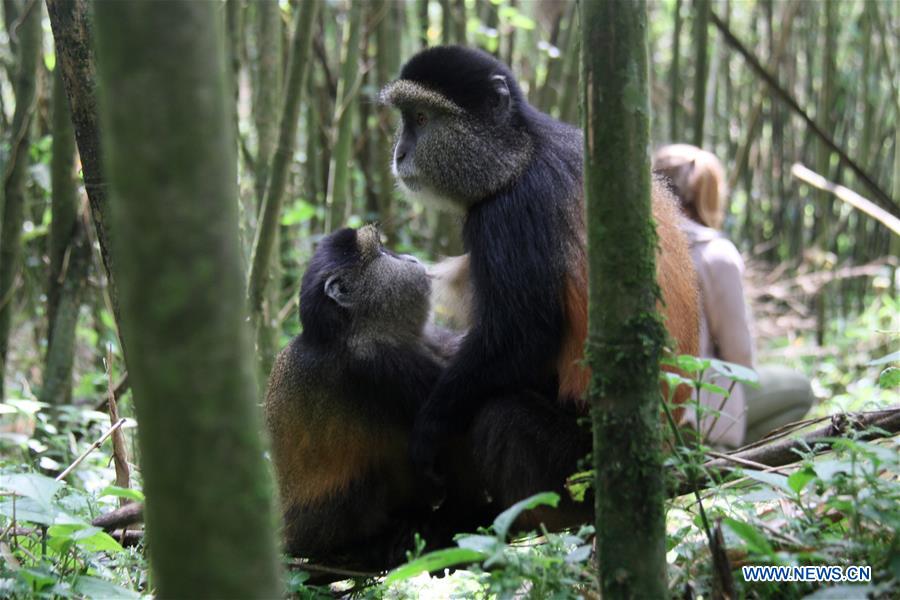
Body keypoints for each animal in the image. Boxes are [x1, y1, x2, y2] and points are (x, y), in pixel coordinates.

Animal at [381, 45, 699, 526]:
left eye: (421, 117)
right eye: (404, 117)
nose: (400, 153)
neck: (520, 152)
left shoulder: (509, 213)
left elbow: (524, 337)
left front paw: (429, 429)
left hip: (573, 471)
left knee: (503, 415)